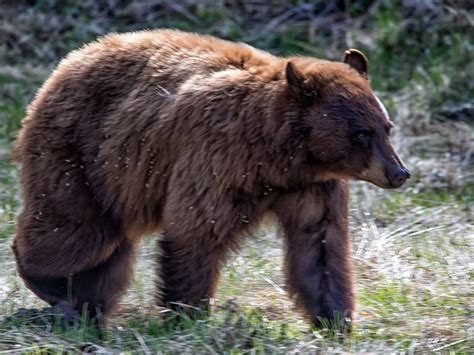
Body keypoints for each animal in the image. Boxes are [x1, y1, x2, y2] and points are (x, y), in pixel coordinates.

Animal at [12, 29, 412, 328]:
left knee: (106, 246)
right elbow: (196, 231)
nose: (399, 173)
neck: (280, 154)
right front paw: (186, 314)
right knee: (77, 231)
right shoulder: (216, 158)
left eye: (386, 126)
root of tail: (72, 58)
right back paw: (53, 287)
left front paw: (335, 320)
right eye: (361, 133)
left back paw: (87, 303)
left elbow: (320, 247)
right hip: (81, 156)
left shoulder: (313, 187)